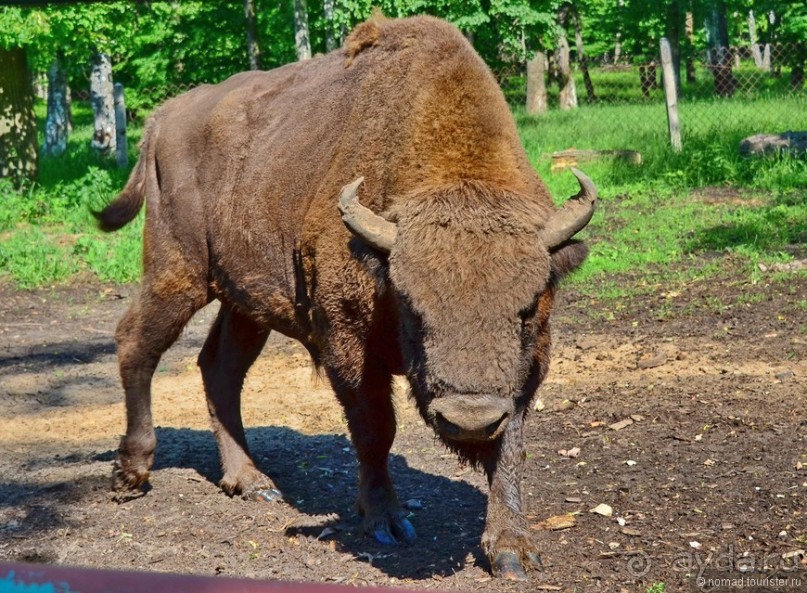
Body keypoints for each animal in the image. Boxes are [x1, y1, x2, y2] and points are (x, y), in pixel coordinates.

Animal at [98, 12, 596, 580]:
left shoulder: (529, 365)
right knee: (138, 343)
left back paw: (251, 482)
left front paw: (512, 549)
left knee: (218, 367)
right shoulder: (347, 344)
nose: (468, 418)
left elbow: (510, 443)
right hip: (178, 271)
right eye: (412, 307)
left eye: (528, 306)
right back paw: (133, 473)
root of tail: (162, 118)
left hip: (244, 299)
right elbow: (375, 427)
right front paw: (385, 521)